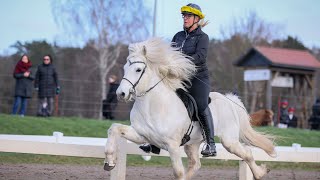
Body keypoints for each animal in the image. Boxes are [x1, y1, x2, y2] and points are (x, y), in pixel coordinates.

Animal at [104, 37, 276, 179]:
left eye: (138, 70)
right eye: (125, 68)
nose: (121, 93)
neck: (153, 106)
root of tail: (229, 100)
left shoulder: (172, 146)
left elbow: (178, 172)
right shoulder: (142, 135)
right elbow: (114, 128)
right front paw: (109, 161)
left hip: (229, 141)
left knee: (247, 154)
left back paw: (260, 173)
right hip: (192, 144)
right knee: (195, 165)